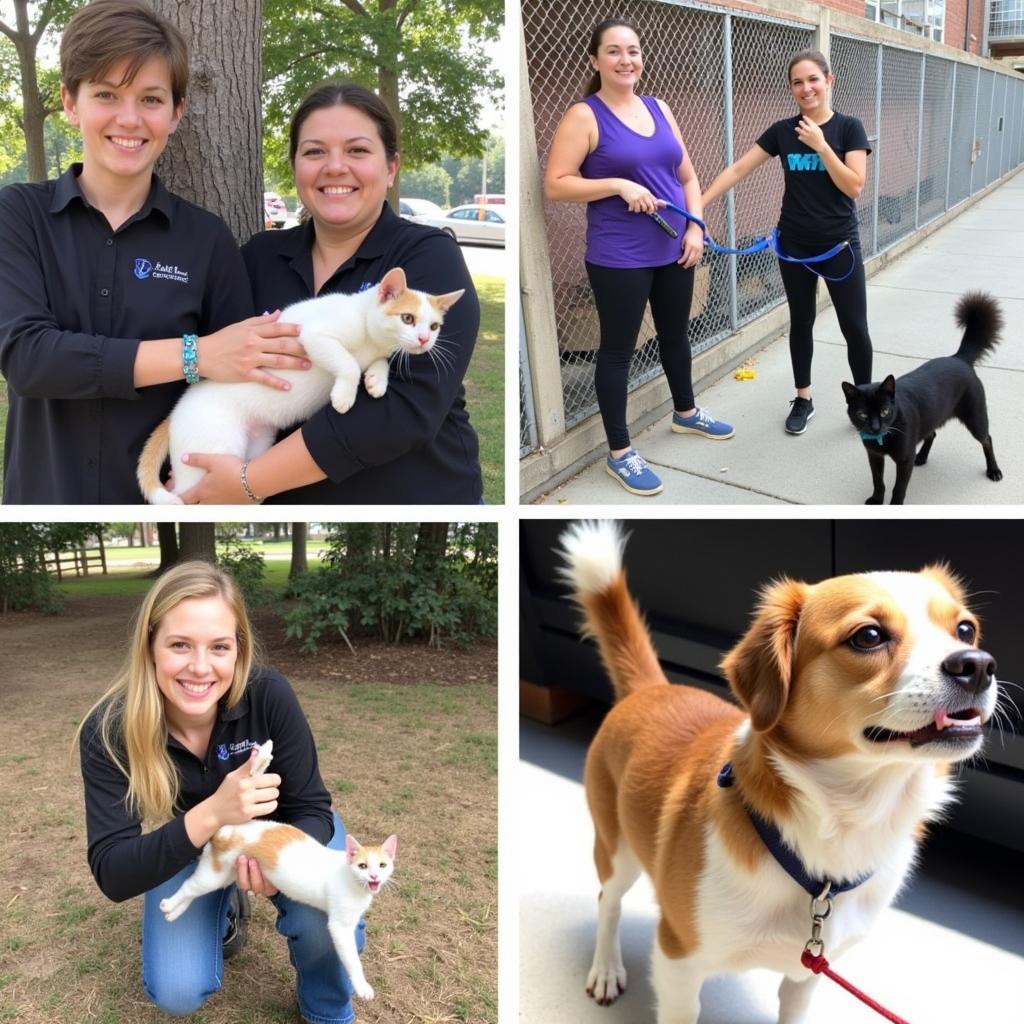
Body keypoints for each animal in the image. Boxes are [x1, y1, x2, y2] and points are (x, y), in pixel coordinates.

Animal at [137, 266, 464, 501]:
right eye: (407, 318)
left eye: (435, 326)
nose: (424, 340)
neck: (369, 333)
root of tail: (174, 414)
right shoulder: (314, 336)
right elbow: (347, 363)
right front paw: (345, 395)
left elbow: (380, 361)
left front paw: (376, 379)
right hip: (210, 451)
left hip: (251, 449)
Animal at [161, 819, 397, 1003]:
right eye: (363, 866)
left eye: (382, 865)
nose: (374, 877)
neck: (353, 879)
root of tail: (226, 830)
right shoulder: (340, 926)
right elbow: (352, 960)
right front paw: (362, 986)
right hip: (214, 875)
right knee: (189, 887)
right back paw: (169, 905)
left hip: (224, 875)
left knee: (192, 890)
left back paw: (174, 913)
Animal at [561, 524, 999, 1019]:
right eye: (868, 636)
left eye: (965, 629)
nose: (977, 665)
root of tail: (651, 688)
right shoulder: (678, 960)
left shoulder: (809, 972)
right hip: (617, 850)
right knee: (608, 901)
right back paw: (606, 968)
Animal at [843, 292, 1003, 503]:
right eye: (862, 414)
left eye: (885, 411)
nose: (875, 428)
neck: (885, 434)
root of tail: (959, 358)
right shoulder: (874, 456)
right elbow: (878, 480)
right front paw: (877, 499)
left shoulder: (904, 460)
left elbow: (899, 488)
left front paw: (894, 505)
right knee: (932, 434)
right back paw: (921, 456)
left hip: (976, 417)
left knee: (987, 439)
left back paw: (994, 470)